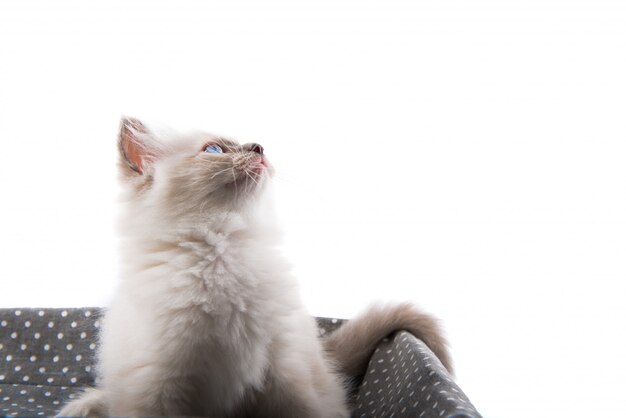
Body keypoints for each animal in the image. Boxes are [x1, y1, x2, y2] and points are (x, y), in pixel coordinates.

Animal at [57, 117, 448, 418]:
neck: (222, 254)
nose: (259, 147)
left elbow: (301, 410)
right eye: (214, 150)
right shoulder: (160, 387)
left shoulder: (283, 371)